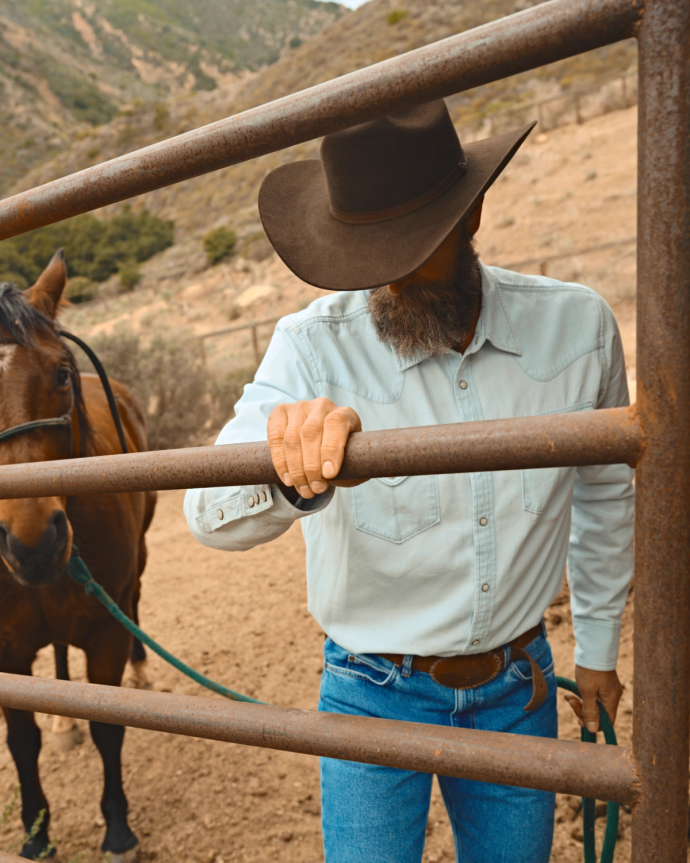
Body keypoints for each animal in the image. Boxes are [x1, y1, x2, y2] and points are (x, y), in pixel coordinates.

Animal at [0, 246, 156, 860]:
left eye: (61, 375)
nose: (32, 543)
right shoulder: (7, 653)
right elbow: (22, 739)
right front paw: (35, 833)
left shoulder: (105, 633)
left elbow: (108, 728)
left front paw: (118, 831)